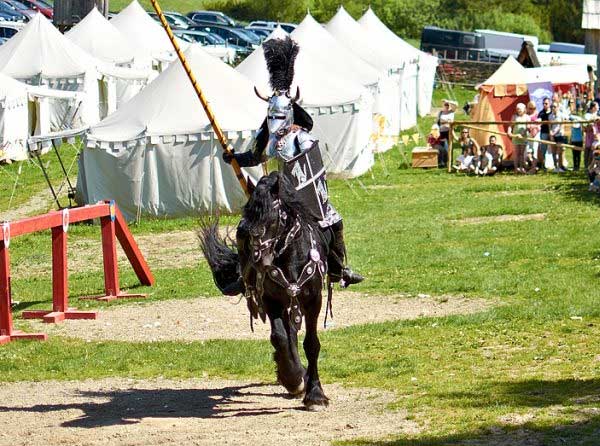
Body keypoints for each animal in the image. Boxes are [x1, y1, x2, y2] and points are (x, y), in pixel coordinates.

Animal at [202, 172, 332, 412]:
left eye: (268, 214)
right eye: (247, 209)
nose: (242, 233)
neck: (290, 259)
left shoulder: (313, 300)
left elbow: (311, 343)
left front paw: (315, 395)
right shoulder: (271, 300)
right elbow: (280, 337)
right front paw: (293, 378)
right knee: (288, 334)